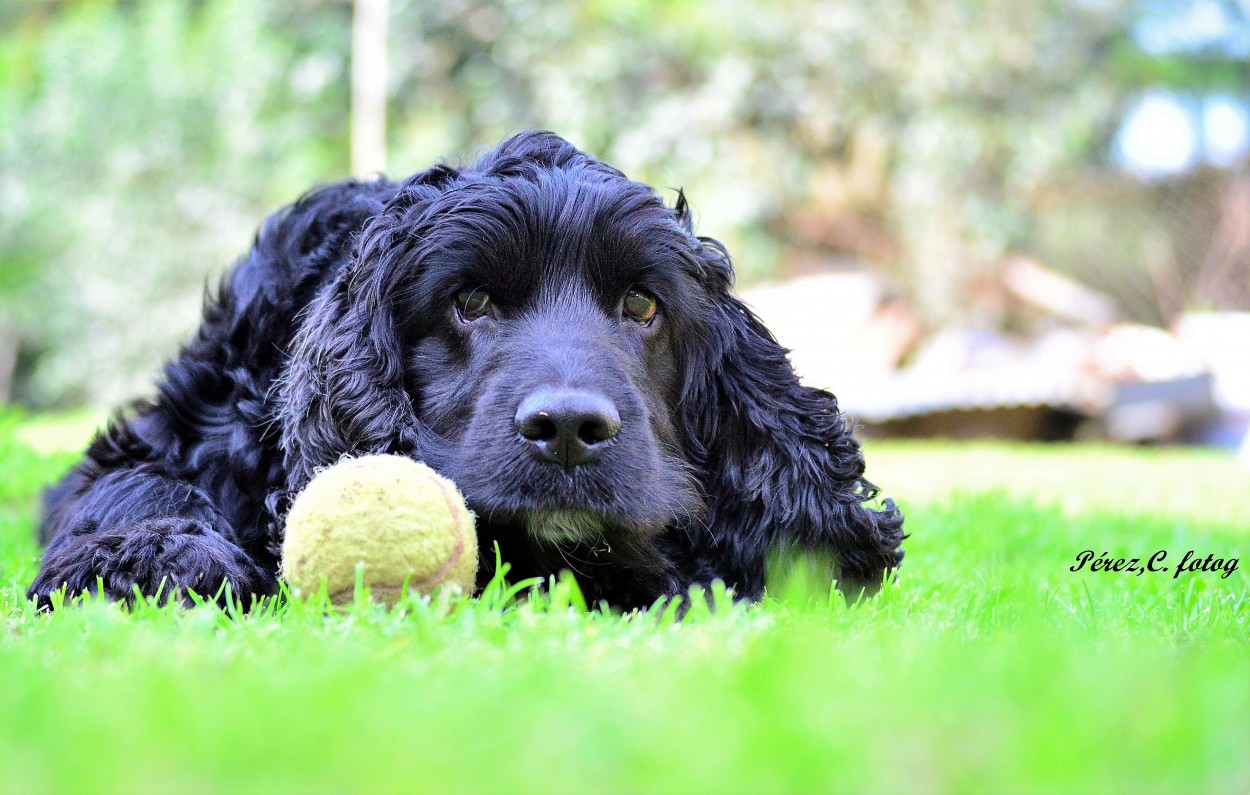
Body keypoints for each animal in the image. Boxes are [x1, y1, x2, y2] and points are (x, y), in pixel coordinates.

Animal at [24, 130, 905, 607]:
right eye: (470, 299)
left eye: (643, 305)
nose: (568, 430)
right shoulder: (166, 434)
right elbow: (139, 483)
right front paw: (158, 558)